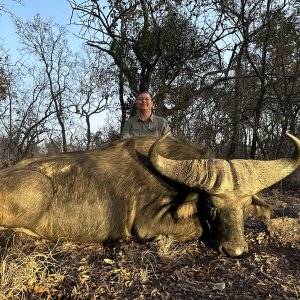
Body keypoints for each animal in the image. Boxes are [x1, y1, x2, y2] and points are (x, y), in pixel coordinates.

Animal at [0, 134, 300, 258]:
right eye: (212, 204)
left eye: (246, 205)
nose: (235, 250)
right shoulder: (146, 223)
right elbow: (197, 228)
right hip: (40, 187)